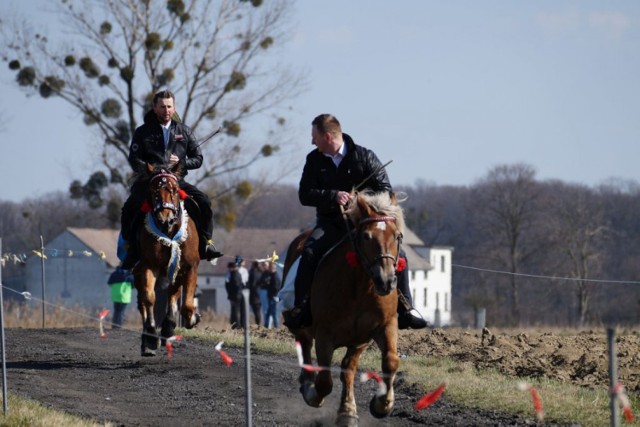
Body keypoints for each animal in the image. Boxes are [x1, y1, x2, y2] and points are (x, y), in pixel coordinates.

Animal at [131, 164, 199, 358]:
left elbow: (185, 303)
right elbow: (149, 299)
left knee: (172, 294)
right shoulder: (149, 266)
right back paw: (147, 341)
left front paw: (190, 319)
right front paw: (152, 338)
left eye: (174, 190)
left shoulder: (189, 267)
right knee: (142, 303)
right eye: (153, 190)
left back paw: (168, 329)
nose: (165, 218)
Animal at [282, 191, 402, 427]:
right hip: (301, 326)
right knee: (305, 346)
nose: (386, 281)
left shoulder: (376, 330)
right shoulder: (324, 335)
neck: (359, 286)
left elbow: (388, 362)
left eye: (396, 236)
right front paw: (313, 395)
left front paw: (380, 405)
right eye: (366, 236)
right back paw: (307, 385)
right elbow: (325, 381)